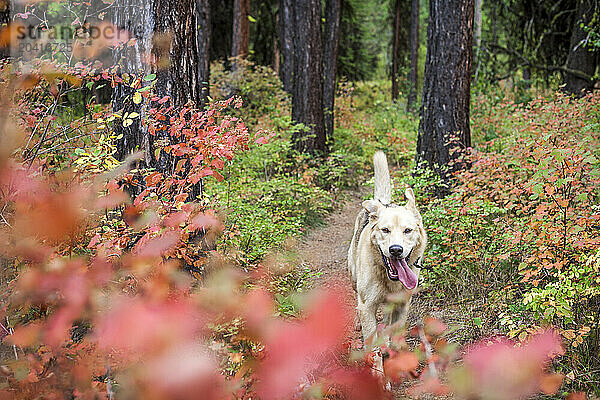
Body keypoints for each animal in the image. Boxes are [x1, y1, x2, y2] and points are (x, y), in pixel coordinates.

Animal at [346, 152, 426, 346]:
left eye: (407, 230)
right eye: (385, 230)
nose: (396, 250)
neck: (389, 280)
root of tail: (380, 202)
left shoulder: (402, 306)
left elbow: (396, 337)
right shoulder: (367, 307)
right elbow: (371, 343)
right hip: (353, 278)